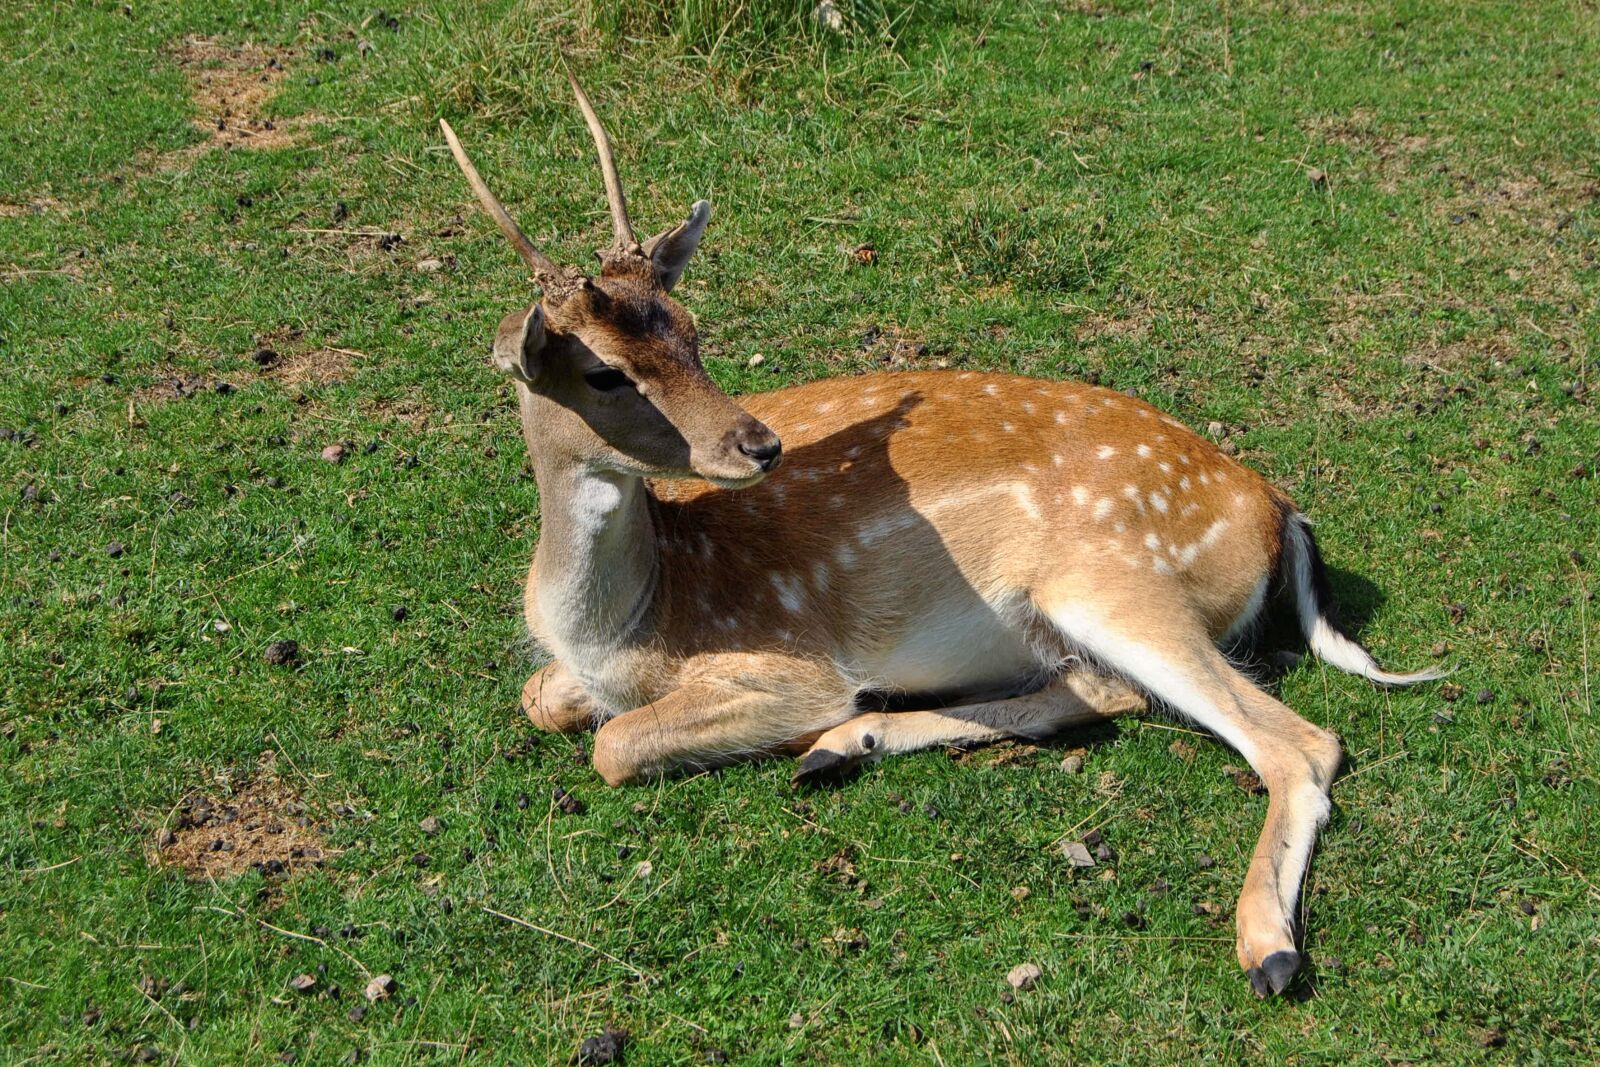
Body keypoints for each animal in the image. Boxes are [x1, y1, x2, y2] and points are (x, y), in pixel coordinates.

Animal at [436, 71, 1442, 999]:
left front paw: (807, 728)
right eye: (605, 370)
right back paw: (843, 750)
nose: (758, 443)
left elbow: (613, 744)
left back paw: (1269, 949)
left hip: (1114, 582)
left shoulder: (792, 666)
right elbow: (539, 695)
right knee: (1106, 691)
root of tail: (1278, 509)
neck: (627, 623)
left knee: (1298, 743)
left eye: (691, 327)